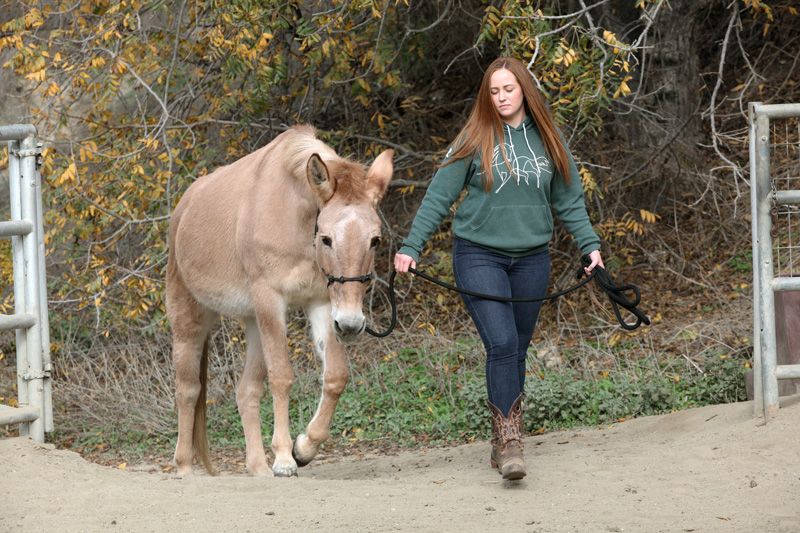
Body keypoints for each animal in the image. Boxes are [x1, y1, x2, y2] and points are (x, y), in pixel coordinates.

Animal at [166, 125, 393, 477]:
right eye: (326, 238)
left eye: (375, 240)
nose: (352, 325)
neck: (295, 219)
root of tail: (184, 207)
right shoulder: (272, 302)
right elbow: (282, 377)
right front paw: (286, 458)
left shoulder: (322, 303)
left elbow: (335, 376)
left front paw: (305, 447)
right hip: (191, 319)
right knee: (188, 391)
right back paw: (185, 468)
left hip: (254, 322)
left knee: (246, 392)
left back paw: (258, 466)